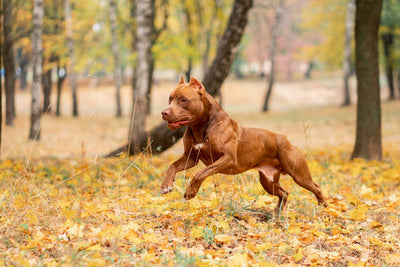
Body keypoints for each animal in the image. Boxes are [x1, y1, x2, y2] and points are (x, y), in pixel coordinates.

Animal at [161, 76, 326, 213]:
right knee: (284, 193)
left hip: (299, 175)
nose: (164, 112)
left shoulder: (227, 158)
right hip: (268, 181)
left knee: (316, 187)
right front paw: (166, 185)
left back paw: (324, 205)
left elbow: (200, 174)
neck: (201, 127)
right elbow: (172, 166)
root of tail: (286, 140)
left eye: (183, 100)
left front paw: (191, 191)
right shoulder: (191, 157)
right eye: (170, 99)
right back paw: (277, 213)